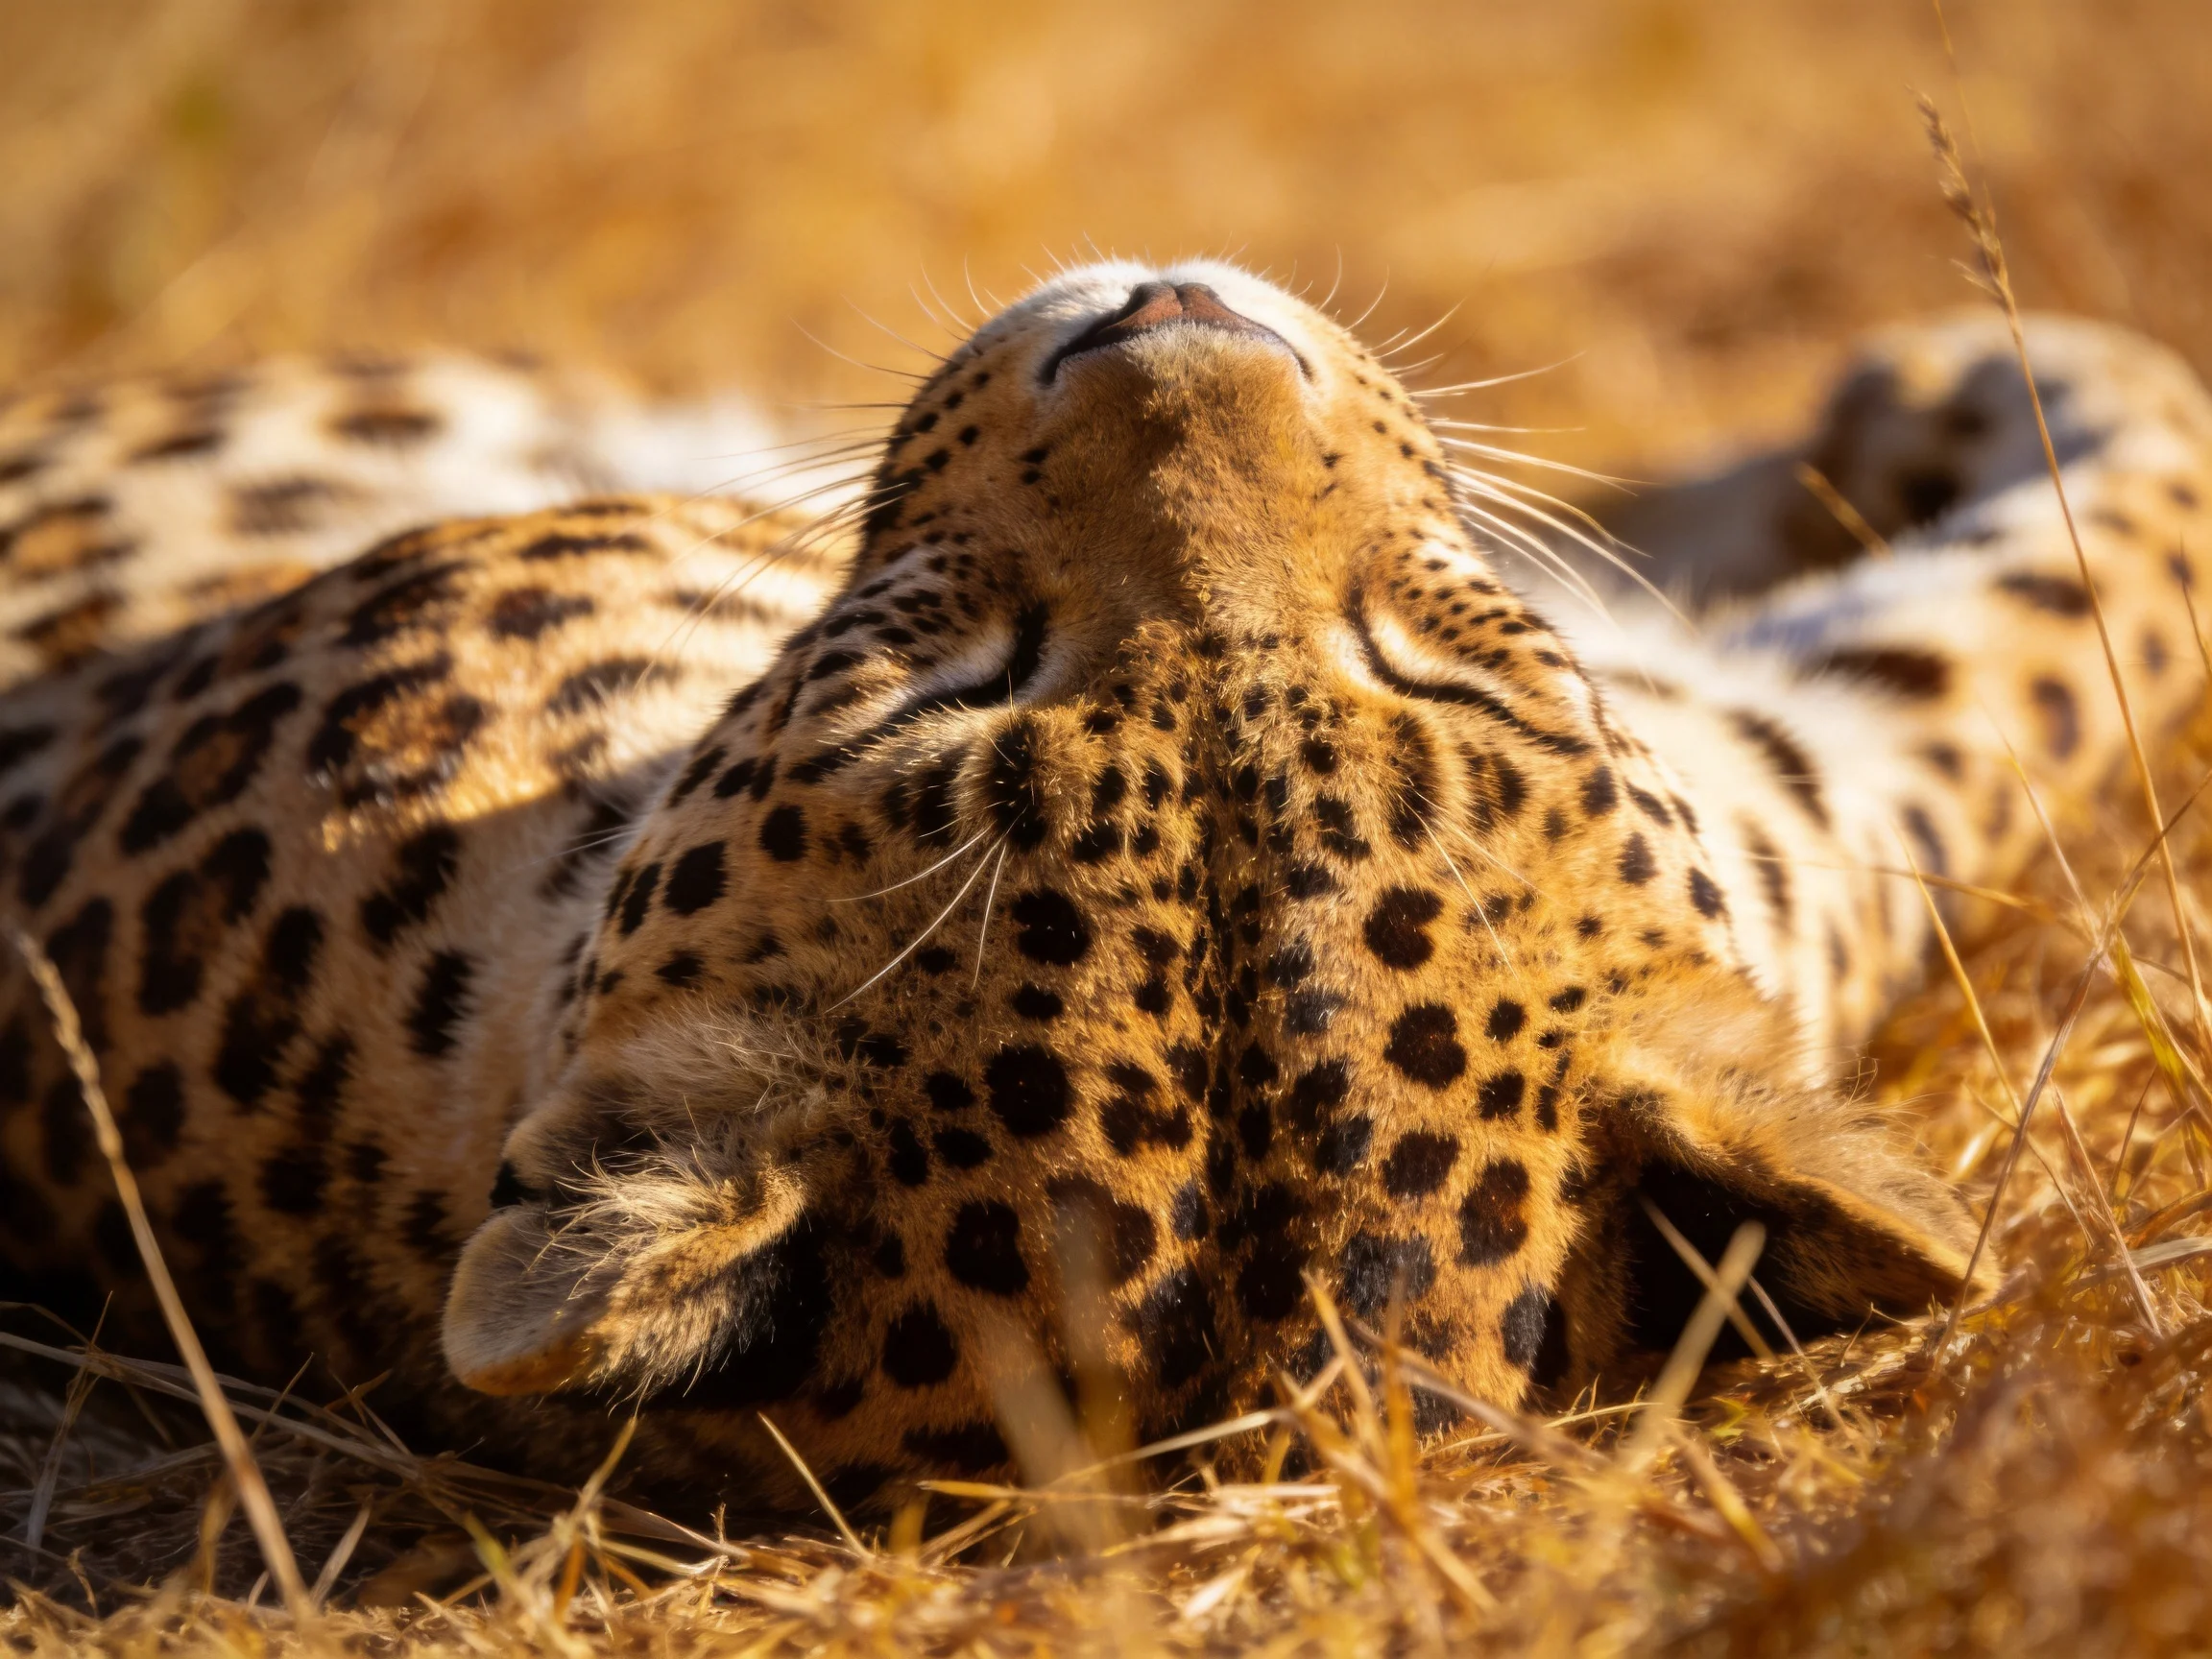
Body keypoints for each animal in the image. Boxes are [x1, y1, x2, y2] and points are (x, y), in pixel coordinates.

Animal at [0, 262, 2206, 1523]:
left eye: (1426, 673)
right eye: (963, 681)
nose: (1163, 318)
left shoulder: (1799, 809)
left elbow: (2044, 630)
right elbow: (2051, 619)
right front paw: (1972, 387)